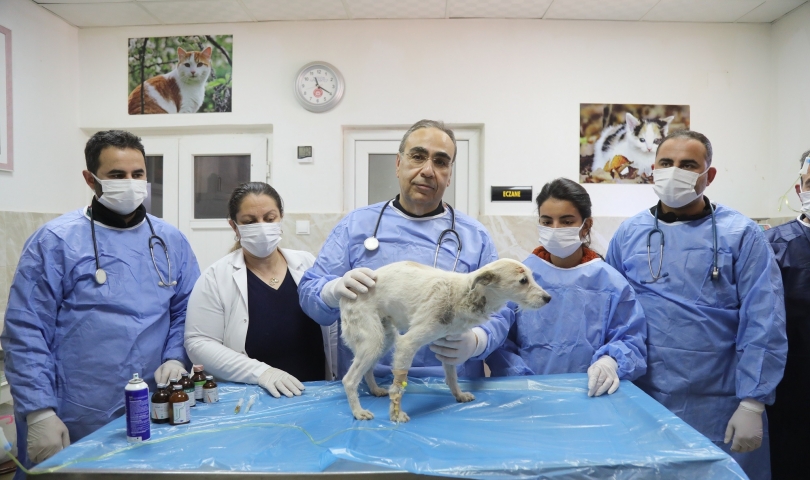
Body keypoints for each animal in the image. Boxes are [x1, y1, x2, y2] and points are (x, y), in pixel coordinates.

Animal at [334, 258, 548, 424]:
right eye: (523, 280)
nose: (549, 298)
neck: (463, 294)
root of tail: (346, 294)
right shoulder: (408, 343)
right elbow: (398, 387)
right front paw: (396, 415)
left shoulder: (448, 343)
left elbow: (452, 376)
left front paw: (459, 395)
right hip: (373, 340)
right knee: (349, 379)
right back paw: (358, 412)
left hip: (384, 338)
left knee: (367, 369)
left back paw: (375, 389)